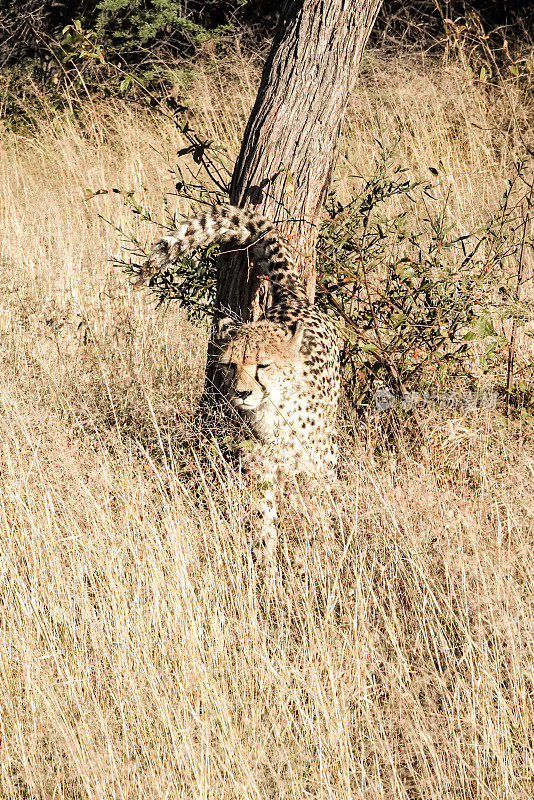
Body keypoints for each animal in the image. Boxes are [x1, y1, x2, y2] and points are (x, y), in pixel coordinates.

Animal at [138, 206, 340, 568]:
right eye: (230, 365)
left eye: (263, 365)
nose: (242, 393)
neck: (275, 414)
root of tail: (294, 300)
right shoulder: (259, 474)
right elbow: (262, 521)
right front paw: (265, 568)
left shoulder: (320, 469)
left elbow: (322, 516)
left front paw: (322, 559)